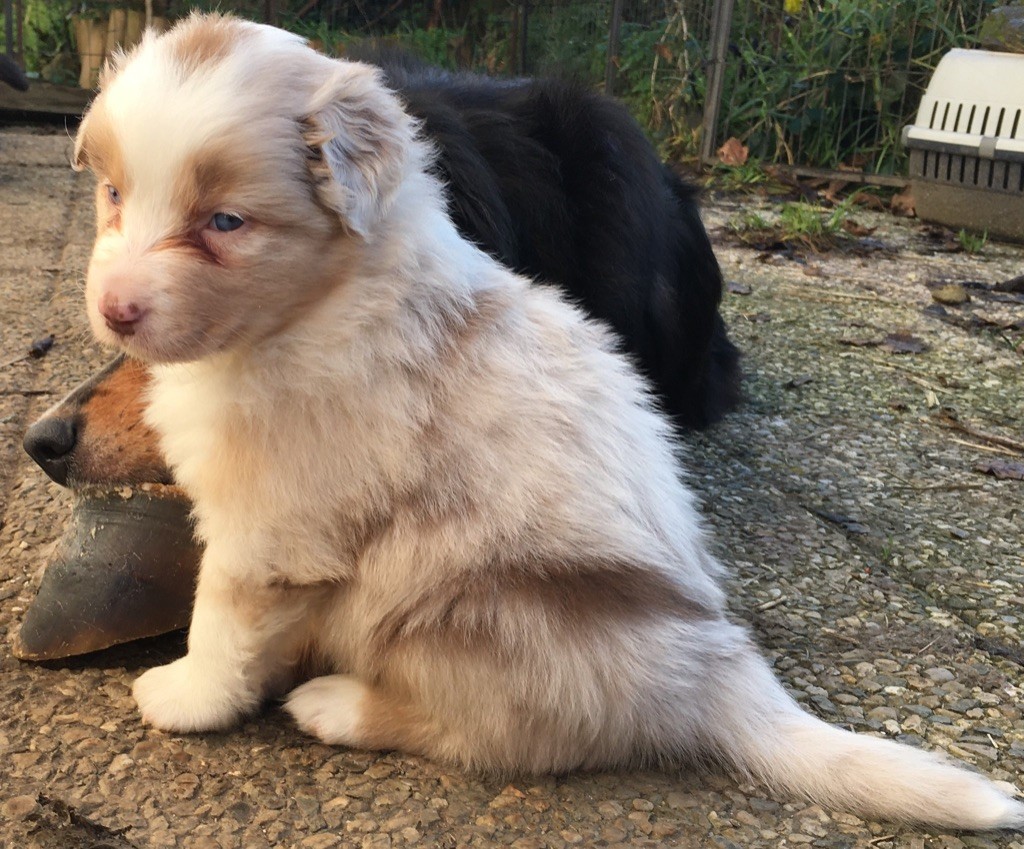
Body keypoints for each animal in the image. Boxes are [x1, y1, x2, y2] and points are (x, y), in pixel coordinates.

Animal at [74, 16, 1024, 831]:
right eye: (114, 194)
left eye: (225, 222)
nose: (116, 310)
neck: (314, 304)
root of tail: (715, 667)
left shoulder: (272, 524)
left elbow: (222, 617)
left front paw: (185, 694)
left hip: (466, 610)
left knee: (502, 733)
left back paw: (339, 704)